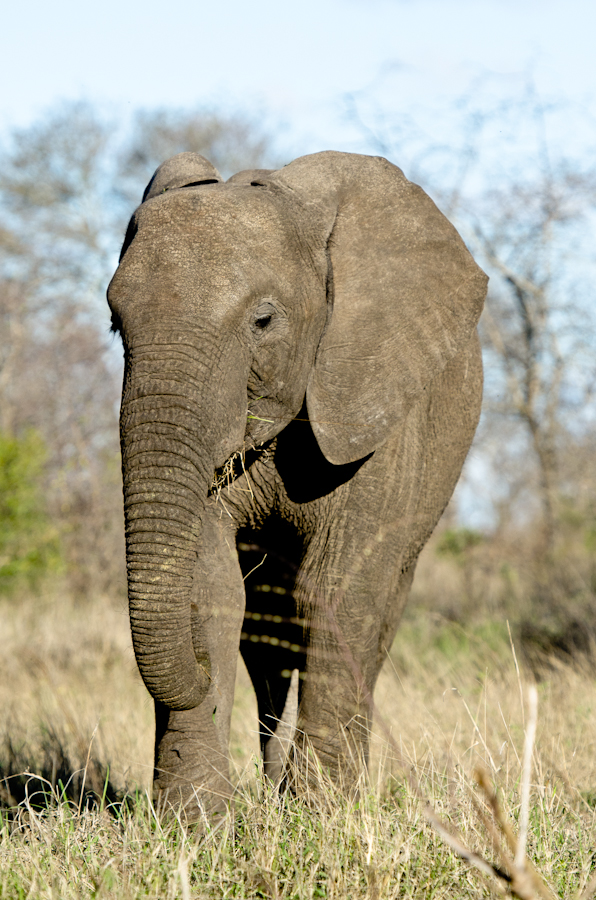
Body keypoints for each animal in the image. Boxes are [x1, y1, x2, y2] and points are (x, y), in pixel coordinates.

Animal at [107, 150, 487, 819]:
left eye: (263, 321)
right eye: (114, 322)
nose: (198, 668)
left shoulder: (377, 407)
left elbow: (335, 589)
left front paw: (323, 815)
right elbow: (212, 586)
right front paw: (195, 822)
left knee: (373, 612)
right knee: (268, 636)